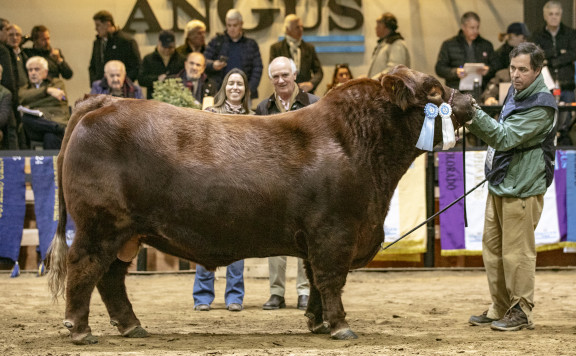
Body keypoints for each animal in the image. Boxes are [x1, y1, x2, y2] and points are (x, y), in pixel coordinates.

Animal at [48, 65, 472, 344]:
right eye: (434, 90)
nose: (468, 99)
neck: (356, 143)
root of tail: (104, 102)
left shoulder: (316, 237)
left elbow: (314, 279)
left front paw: (316, 322)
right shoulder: (334, 231)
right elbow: (331, 279)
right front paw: (340, 326)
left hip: (127, 234)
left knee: (111, 278)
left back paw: (132, 326)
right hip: (101, 225)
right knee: (84, 267)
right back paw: (80, 330)